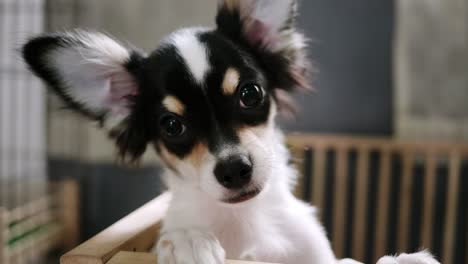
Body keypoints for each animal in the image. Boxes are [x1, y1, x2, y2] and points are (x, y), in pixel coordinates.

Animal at [22, 0, 438, 264]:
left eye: (249, 94)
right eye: (172, 125)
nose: (234, 169)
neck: (243, 219)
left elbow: (349, 262)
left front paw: (406, 261)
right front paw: (188, 243)